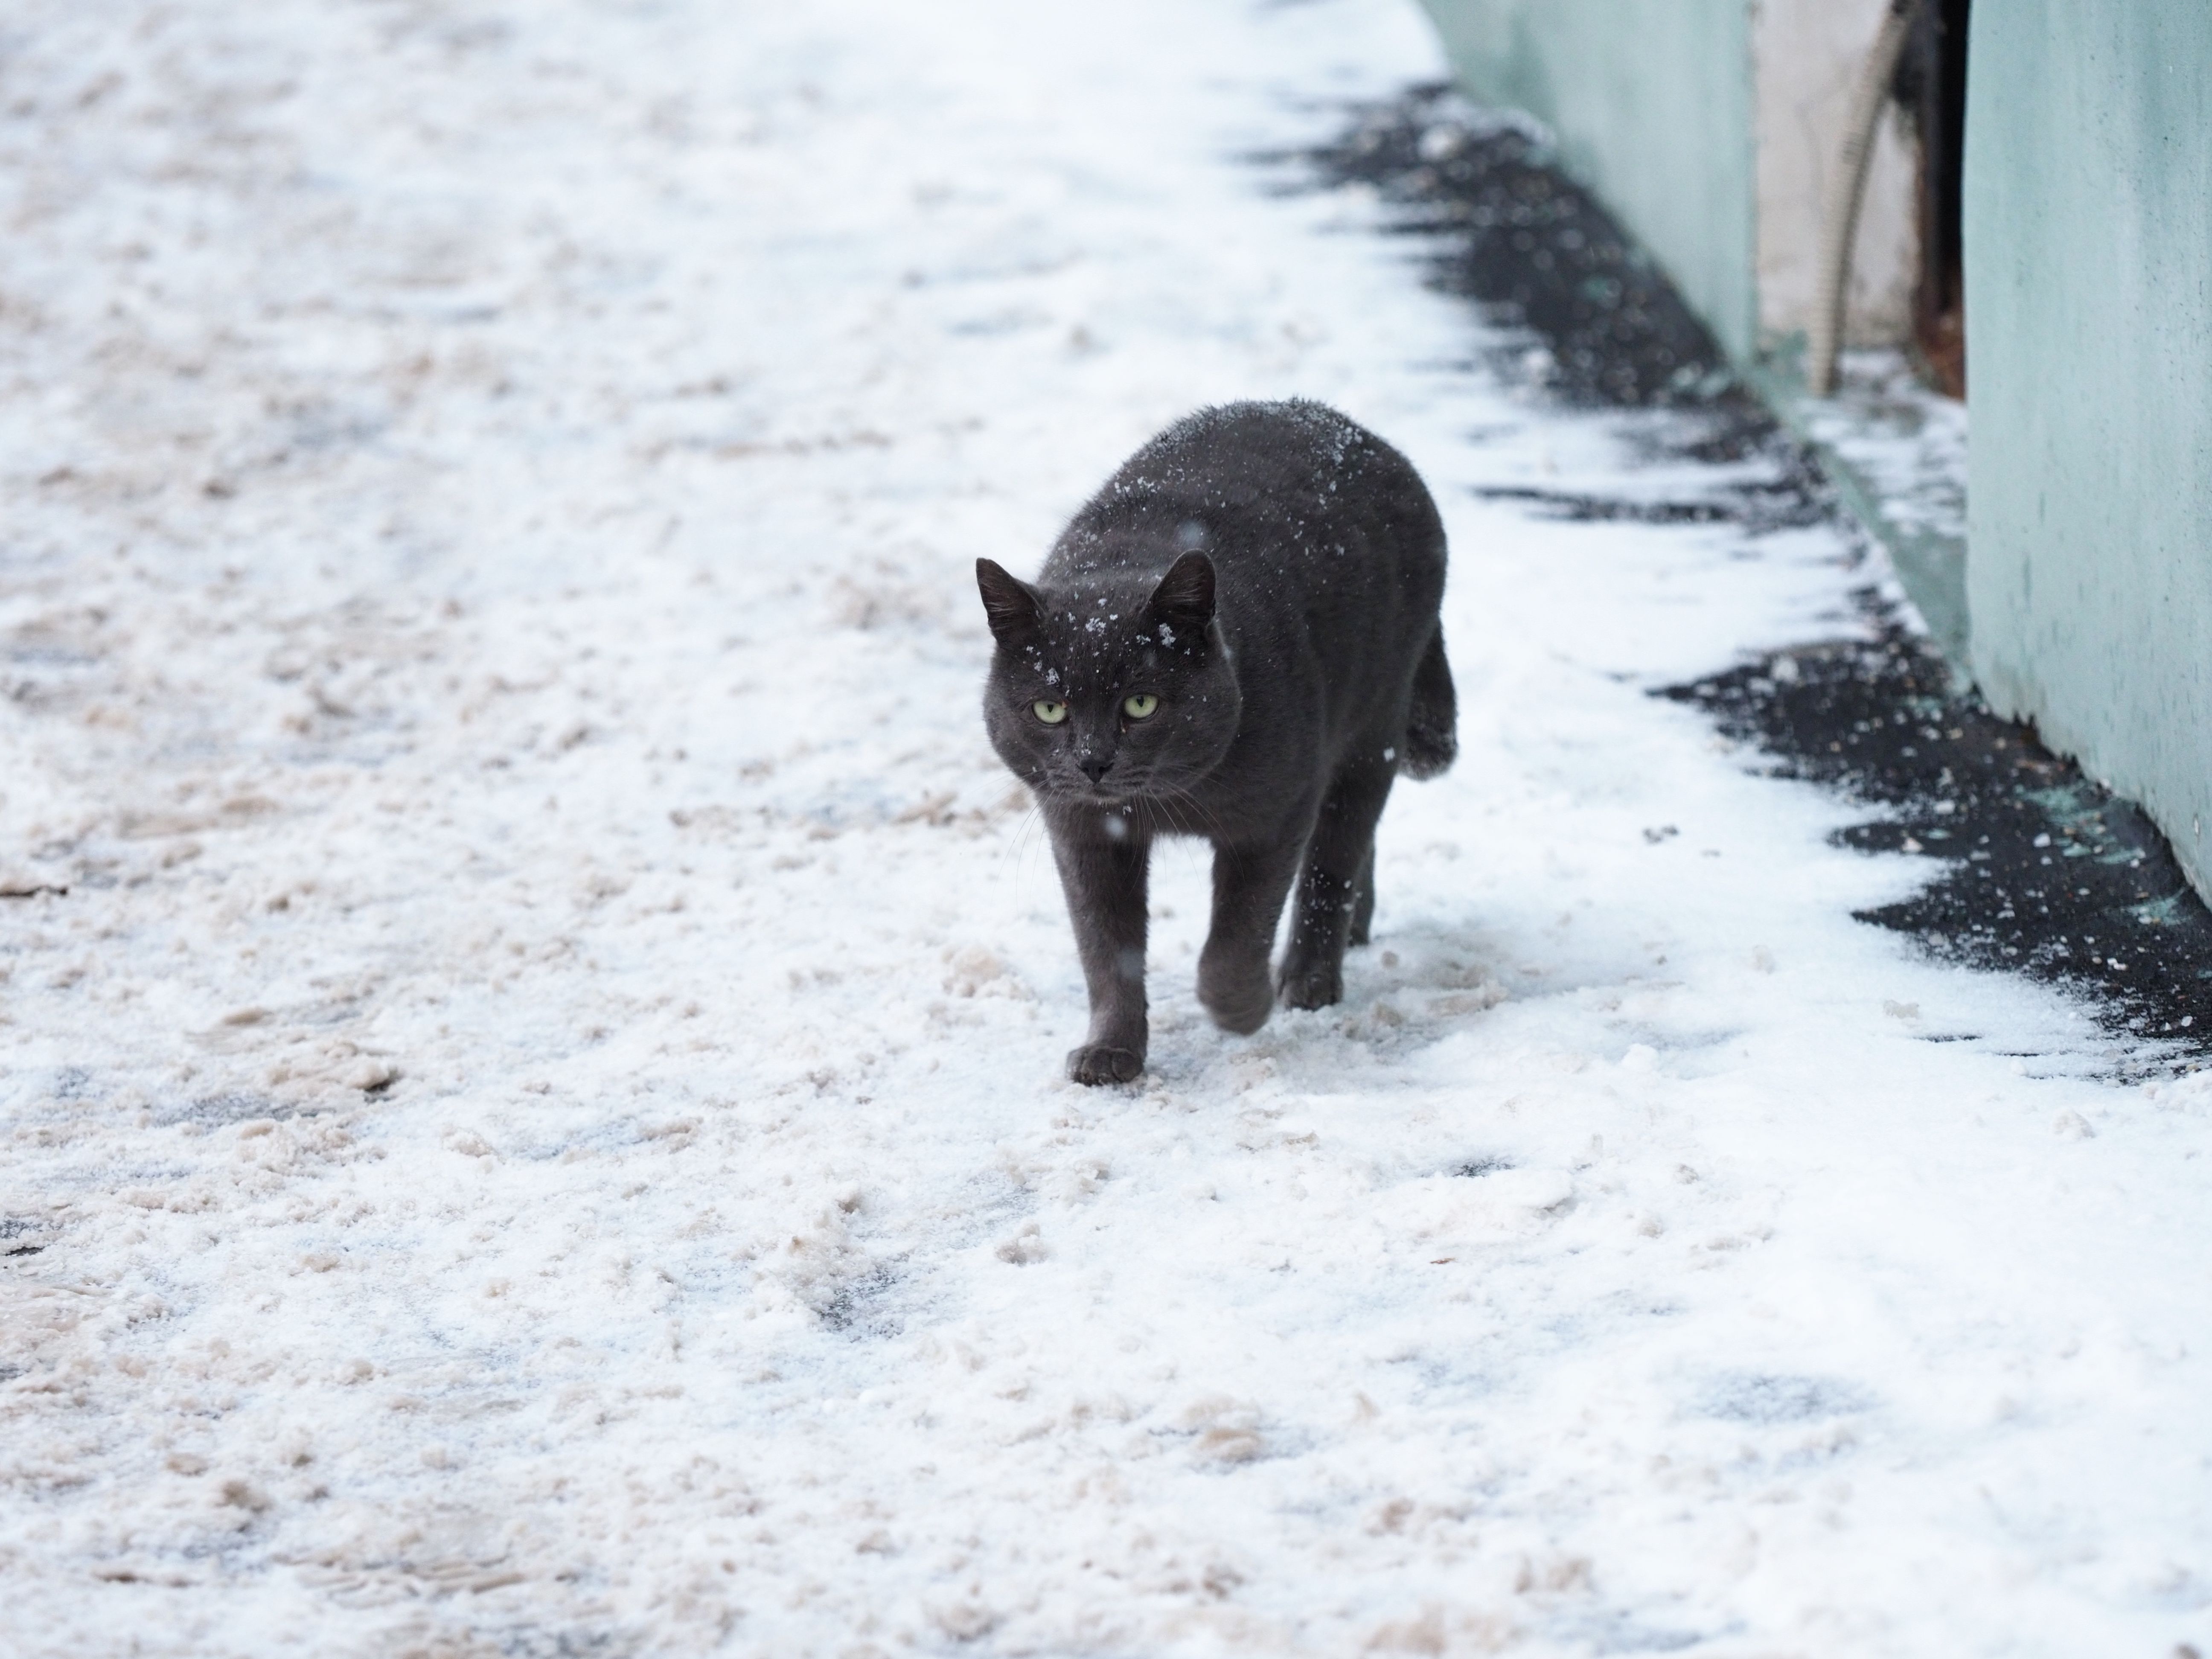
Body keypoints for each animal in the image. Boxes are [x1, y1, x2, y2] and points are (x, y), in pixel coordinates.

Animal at [973, 396, 1451, 1084]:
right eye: (1050, 708)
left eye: (1141, 703)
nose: (1093, 761)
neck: (1168, 803)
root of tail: (1361, 433)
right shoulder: (1083, 832)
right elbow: (1106, 951)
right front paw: (1111, 1053)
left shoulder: (1274, 817)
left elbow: (1237, 934)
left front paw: (1240, 1010)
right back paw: (1355, 935)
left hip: (1373, 726)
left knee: (1335, 854)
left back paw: (1310, 980)